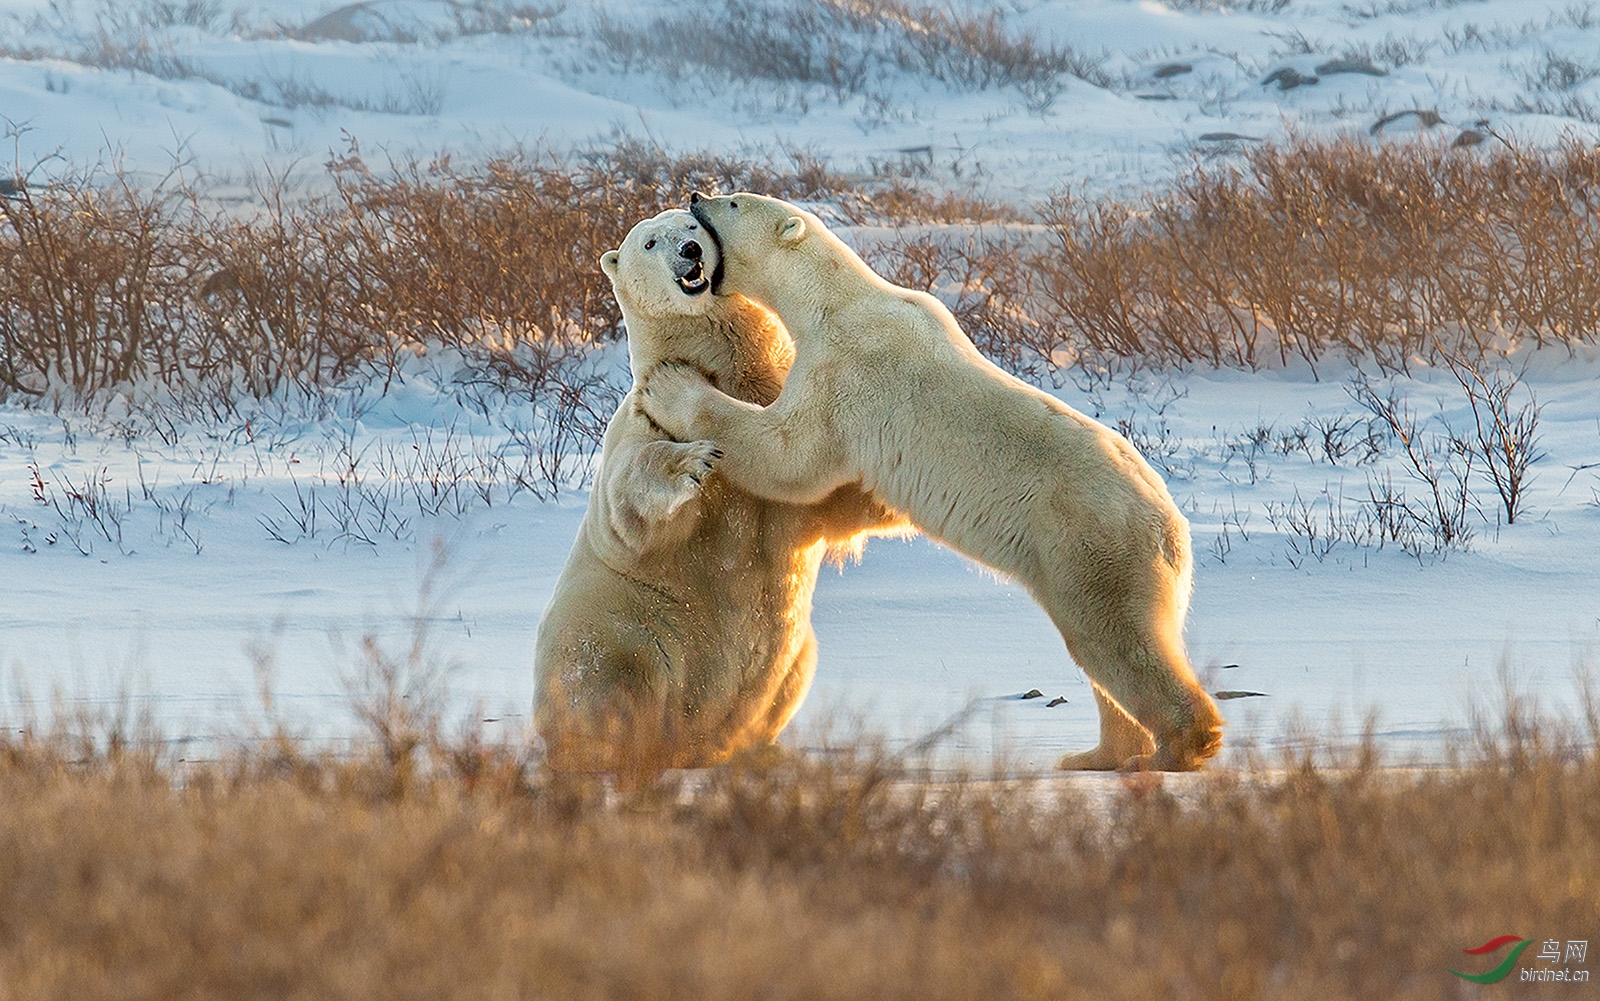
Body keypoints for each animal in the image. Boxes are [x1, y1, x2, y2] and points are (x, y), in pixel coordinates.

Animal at [533, 208, 904, 784]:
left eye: (691, 225)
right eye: (649, 241)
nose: (689, 252)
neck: (730, 377)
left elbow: (831, 504)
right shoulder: (642, 420)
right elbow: (627, 503)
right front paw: (695, 462)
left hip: (791, 661)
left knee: (792, 672)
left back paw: (761, 752)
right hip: (615, 628)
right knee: (602, 679)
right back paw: (610, 754)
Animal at [637, 192, 1224, 772]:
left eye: (734, 203)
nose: (696, 195)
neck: (840, 301)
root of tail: (1171, 528)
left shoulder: (844, 372)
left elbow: (789, 456)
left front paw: (670, 383)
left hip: (1089, 546)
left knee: (1115, 641)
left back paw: (1175, 748)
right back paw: (1093, 756)